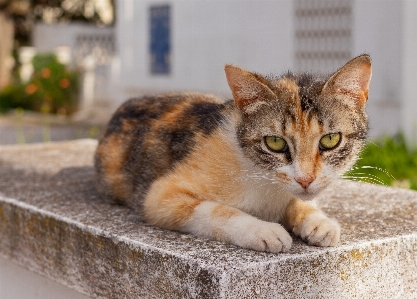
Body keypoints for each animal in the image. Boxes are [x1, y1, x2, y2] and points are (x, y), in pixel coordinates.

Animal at [94, 54, 370, 253]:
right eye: (275, 143)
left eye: (330, 140)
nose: (305, 179)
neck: (262, 177)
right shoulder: (159, 196)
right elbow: (215, 210)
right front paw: (263, 231)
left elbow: (301, 201)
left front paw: (318, 221)